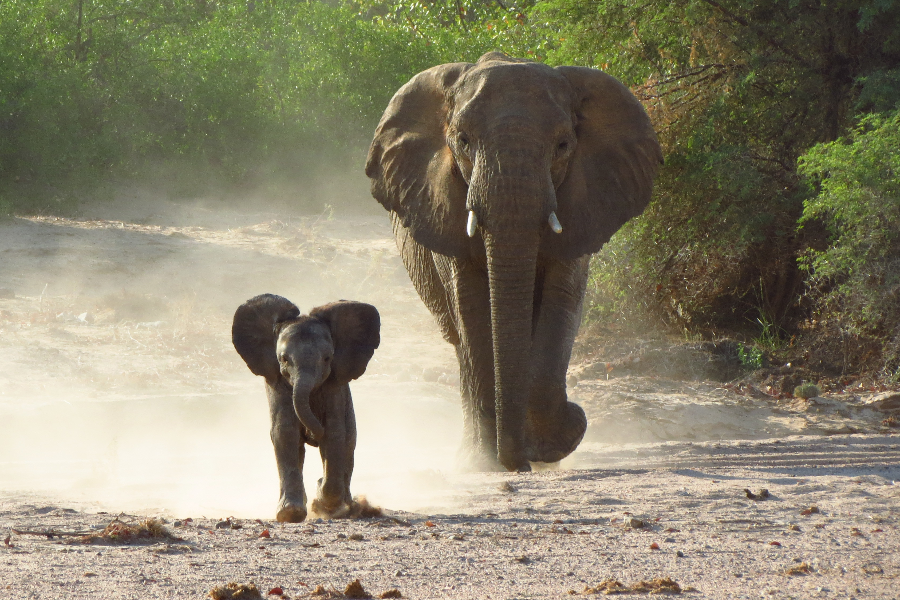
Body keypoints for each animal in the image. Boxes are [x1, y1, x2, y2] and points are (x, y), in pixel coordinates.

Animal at [232, 294, 380, 520]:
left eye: (327, 359)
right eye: (283, 359)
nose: (311, 434)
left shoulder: (334, 387)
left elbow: (335, 435)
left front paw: (323, 502)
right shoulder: (277, 384)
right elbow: (285, 433)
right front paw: (290, 514)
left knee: (348, 446)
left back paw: (347, 507)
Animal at [364, 51, 660, 472]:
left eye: (563, 145)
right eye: (463, 142)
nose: (517, 463)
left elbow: (561, 301)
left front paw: (556, 444)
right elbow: (472, 309)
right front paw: (489, 462)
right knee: (460, 342)